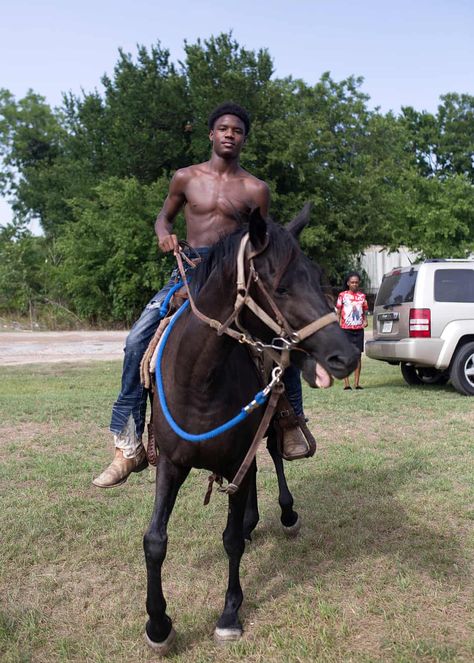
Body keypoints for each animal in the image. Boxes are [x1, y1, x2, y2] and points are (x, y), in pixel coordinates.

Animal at [144, 206, 360, 652]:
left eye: (318, 277)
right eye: (281, 287)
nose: (346, 356)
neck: (200, 380)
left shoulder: (234, 461)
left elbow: (230, 540)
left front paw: (229, 614)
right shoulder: (171, 463)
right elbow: (155, 540)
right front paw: (157, 624)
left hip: (274, 416)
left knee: (274, 457)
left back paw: (285, 513)